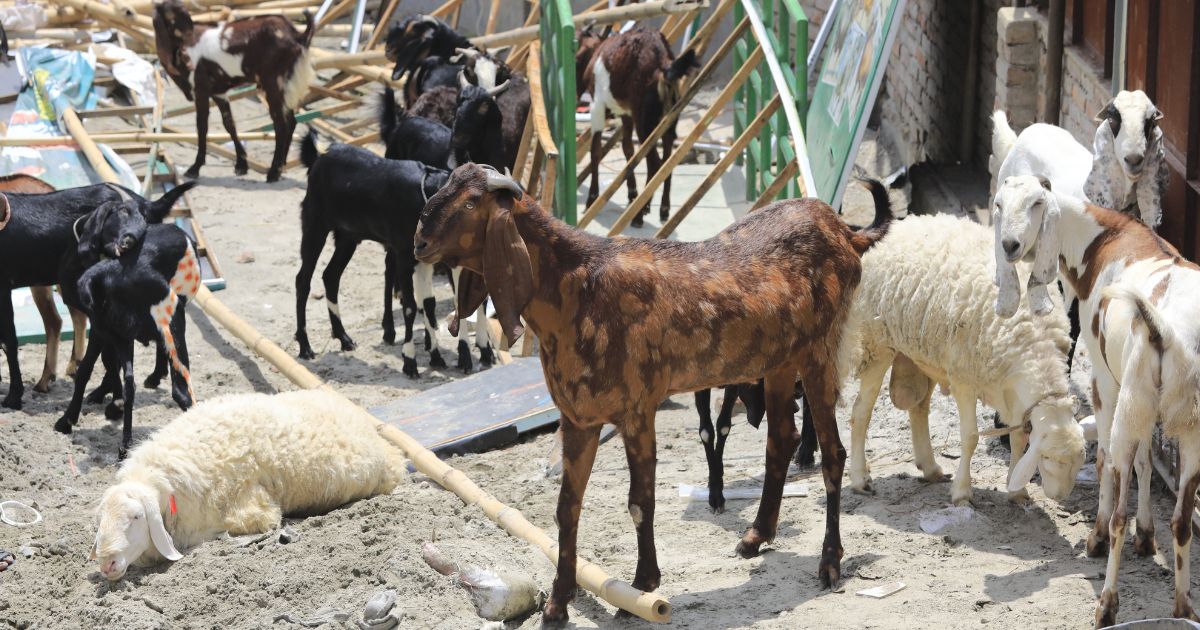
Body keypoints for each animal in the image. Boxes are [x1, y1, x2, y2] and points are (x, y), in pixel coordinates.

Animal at [152, 0, 315, 182]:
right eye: (170, 15)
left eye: (185, 12)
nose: (190, 37)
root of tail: (297, 36)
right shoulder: (218, 92)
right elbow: (229, 124)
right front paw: (241, 164)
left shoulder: (201, 90)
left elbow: (202, 126)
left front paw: (195, 167)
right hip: (285, 86)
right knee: (291, 121)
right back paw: (281, 165)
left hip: (273, 83)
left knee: (281, 125)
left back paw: (273, 172)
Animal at [295, 130, 450, 377]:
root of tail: (318, 158)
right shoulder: (404, 256)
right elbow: (409, 307)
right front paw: (410, 362)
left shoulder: (424, 261)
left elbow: (429, 305)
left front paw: (436, 357)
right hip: (314, 226)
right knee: (303, 280)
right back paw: (305, 346)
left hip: (347, 236)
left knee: (331, 276)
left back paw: (344, 337)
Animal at [413, 163, 891, 624]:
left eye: (471, 201)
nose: (419, 240)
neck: (577, 290)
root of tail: (845, 231)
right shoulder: (579, 416)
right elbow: (567, 509)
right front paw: (557, 606)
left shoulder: (638, 409)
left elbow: (640, 502)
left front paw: (642, 587)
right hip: (778, 363)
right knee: (781, 441)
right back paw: (755, 537)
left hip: (820, 352)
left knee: (832, 453)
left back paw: (829, 563)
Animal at [580, 29, 699, 227]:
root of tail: (663, 64)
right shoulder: (626, 113)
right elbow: (628, 148)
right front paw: (632, 193)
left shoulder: (597, 106)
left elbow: (595, 151)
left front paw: (592, 198)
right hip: (669, 117)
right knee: (666, 158)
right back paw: (661, 209)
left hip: (644, 121)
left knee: (654, 162)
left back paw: (639, 214)